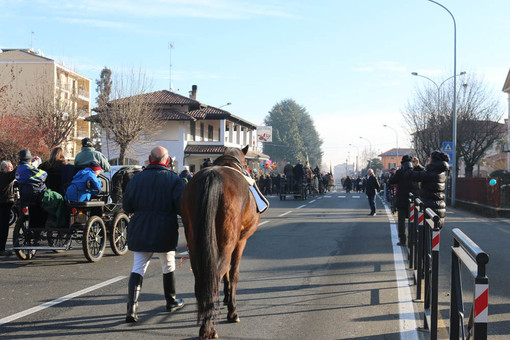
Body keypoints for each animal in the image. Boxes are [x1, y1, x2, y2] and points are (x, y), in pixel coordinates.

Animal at [182, 145, 262, 338]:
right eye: (246, 163)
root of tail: (212, 176)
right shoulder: (240, 241)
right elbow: (233, 273)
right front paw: (232, 308)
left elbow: (226, 274)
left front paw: (226, 297)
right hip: (228, 241)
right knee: (218, 272)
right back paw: (210, 327)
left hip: (195, 244)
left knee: (202, 278)